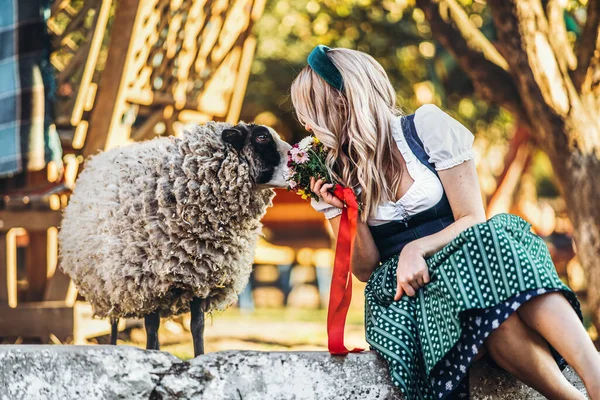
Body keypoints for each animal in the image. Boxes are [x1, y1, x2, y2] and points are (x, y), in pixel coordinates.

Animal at [58, 122, 290, 356]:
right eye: (262, 137)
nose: (296, 162)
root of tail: (96, 159)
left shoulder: (199, 278)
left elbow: (197, 326)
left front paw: (198, 356)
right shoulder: (147, 284)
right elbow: (151, 328)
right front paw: (151, 354)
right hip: (108, 286)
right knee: (115, 322)